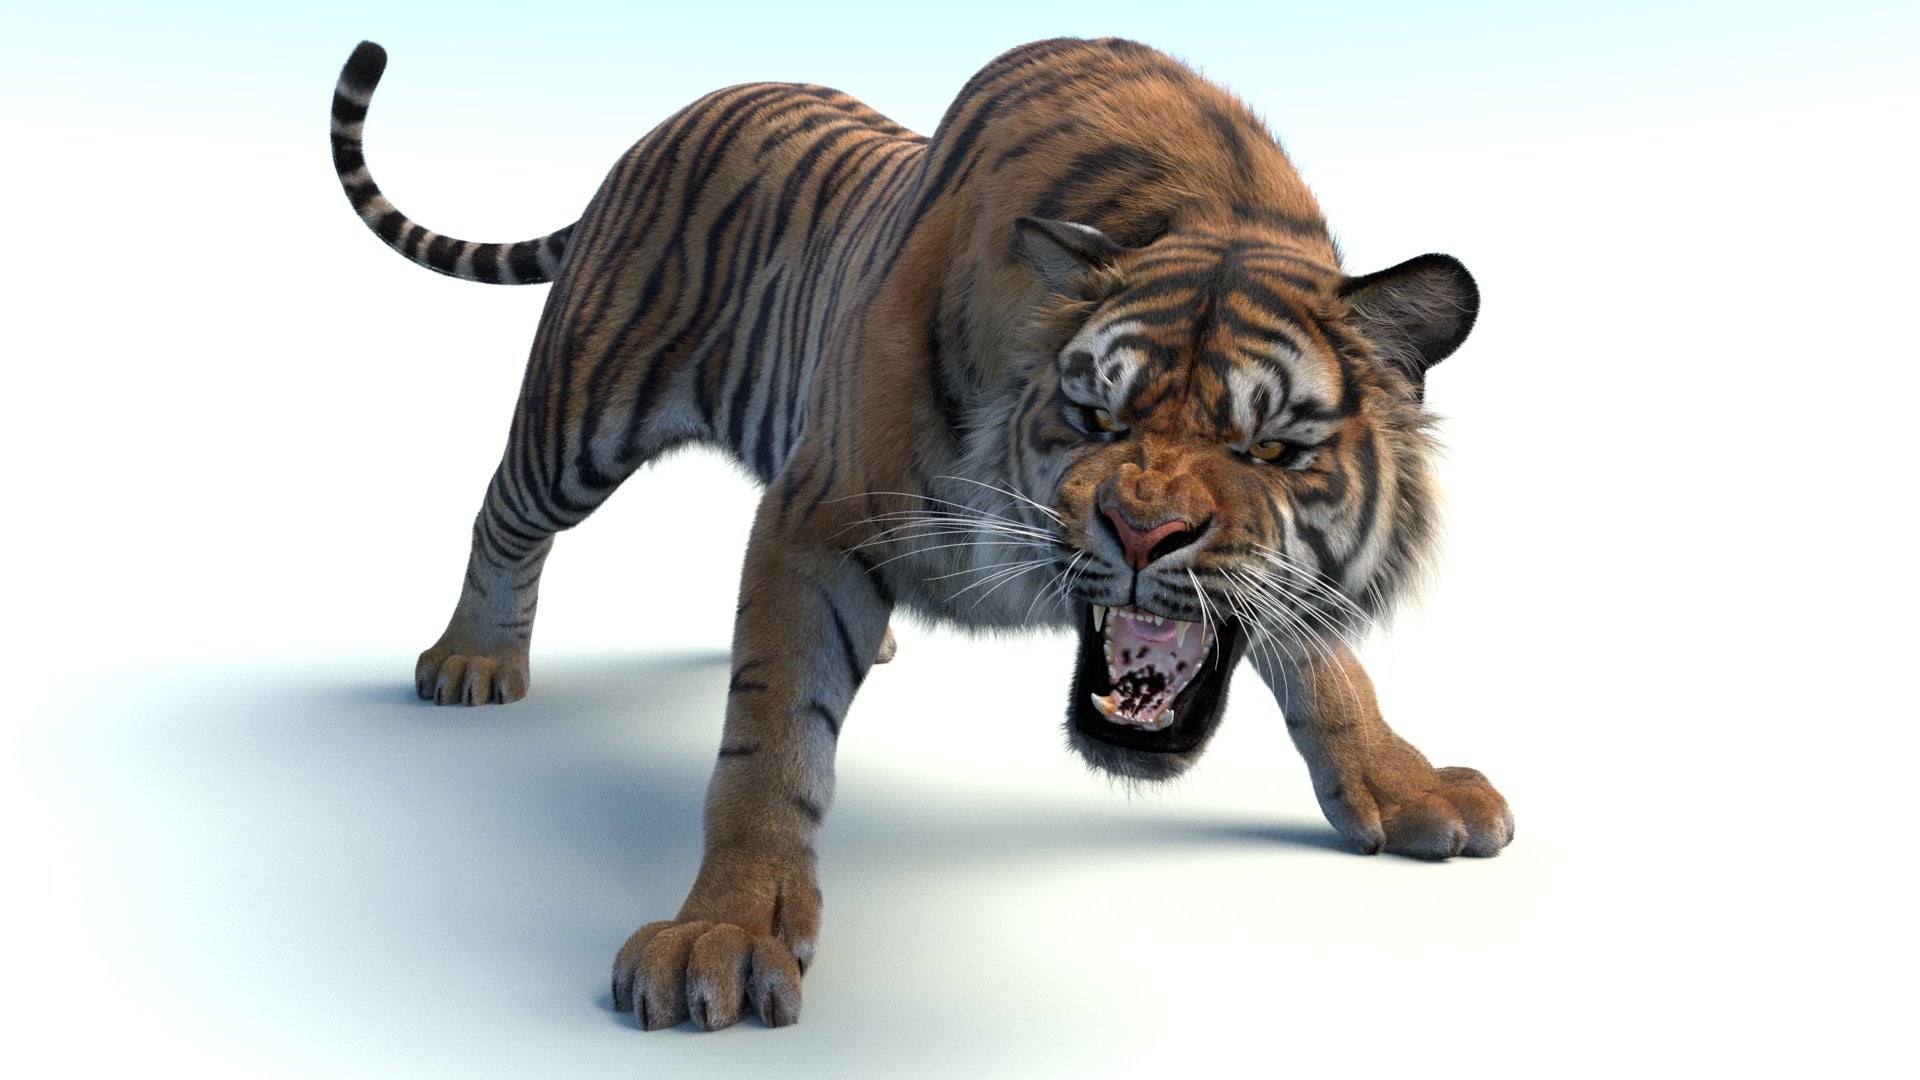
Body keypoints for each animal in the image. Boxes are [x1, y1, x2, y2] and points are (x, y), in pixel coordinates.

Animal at [330, 36, 1514, 1031]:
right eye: (1097, 419)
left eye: (1269, 448)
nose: (1140, 531)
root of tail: (668, 121)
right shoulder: (818, 512)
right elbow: (769, 740)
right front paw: (724, 934)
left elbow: (1326, 667)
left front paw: (1408, 789)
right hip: (582, 409)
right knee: (503, 512)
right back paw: (474, 660)